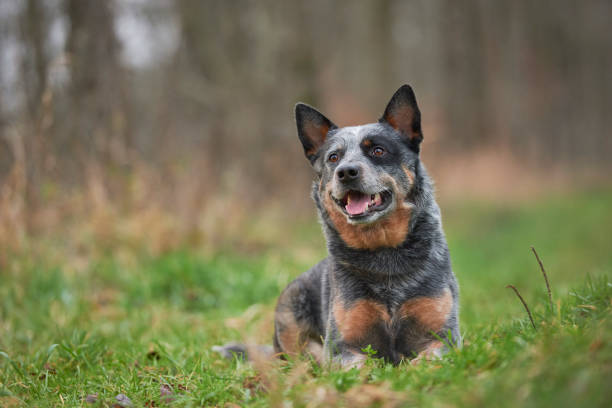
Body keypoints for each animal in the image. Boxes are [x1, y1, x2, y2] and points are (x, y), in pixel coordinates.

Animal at [215, 85, 460, 366]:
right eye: (333, 157)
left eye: (378, 150)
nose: (346, 171)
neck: (384, 252)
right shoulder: (342, 346)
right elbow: (361, 365)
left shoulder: (443, 337)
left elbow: (428, 360)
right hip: (290, 302)